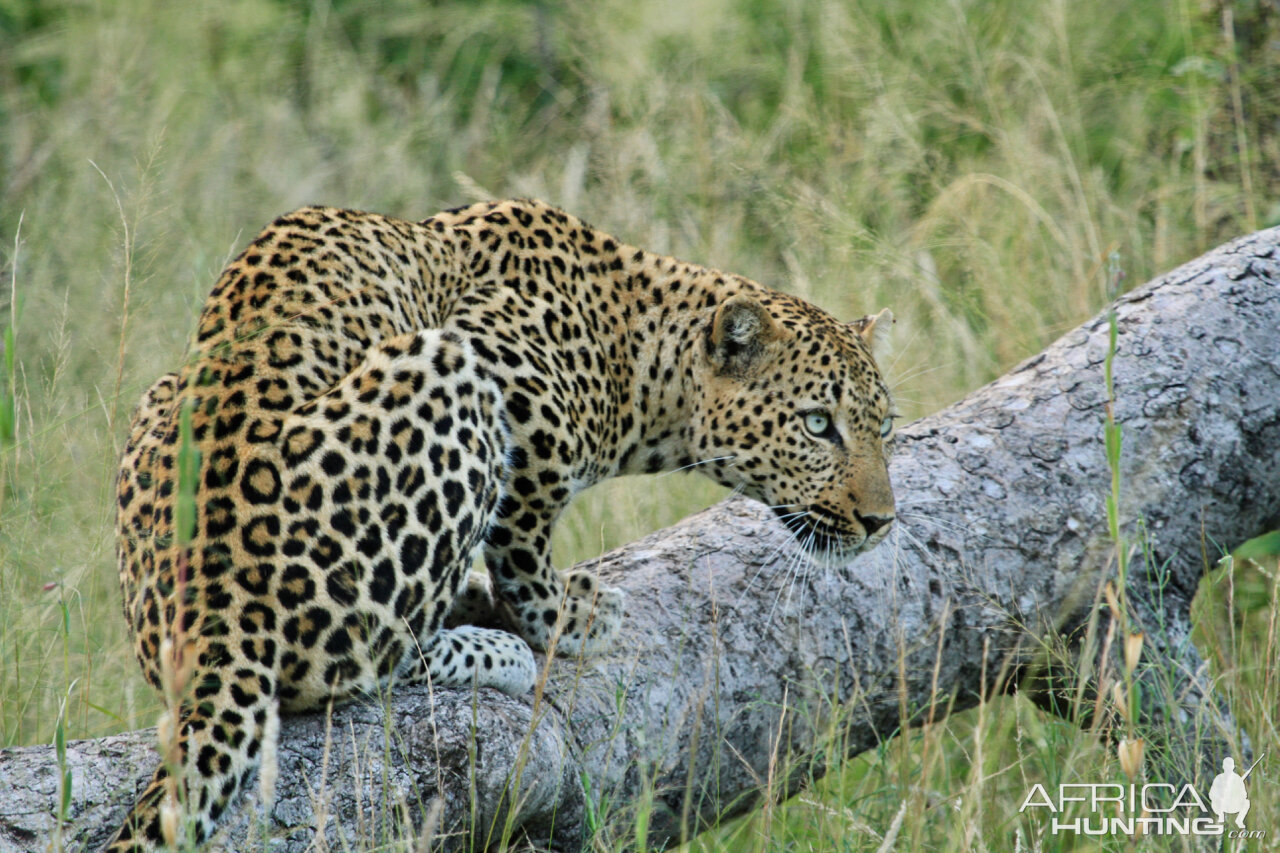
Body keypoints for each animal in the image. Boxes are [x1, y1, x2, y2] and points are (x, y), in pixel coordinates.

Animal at [104, 197, 896, 845]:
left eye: (882, 425)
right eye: (818, 424)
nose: (882, 521)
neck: (639, 360)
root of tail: (216, 623)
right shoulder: (505, 373)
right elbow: (525, 532)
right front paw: (565, 616)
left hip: (157, 397)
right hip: (442, 368)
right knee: (370, 661)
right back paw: (497, 647)